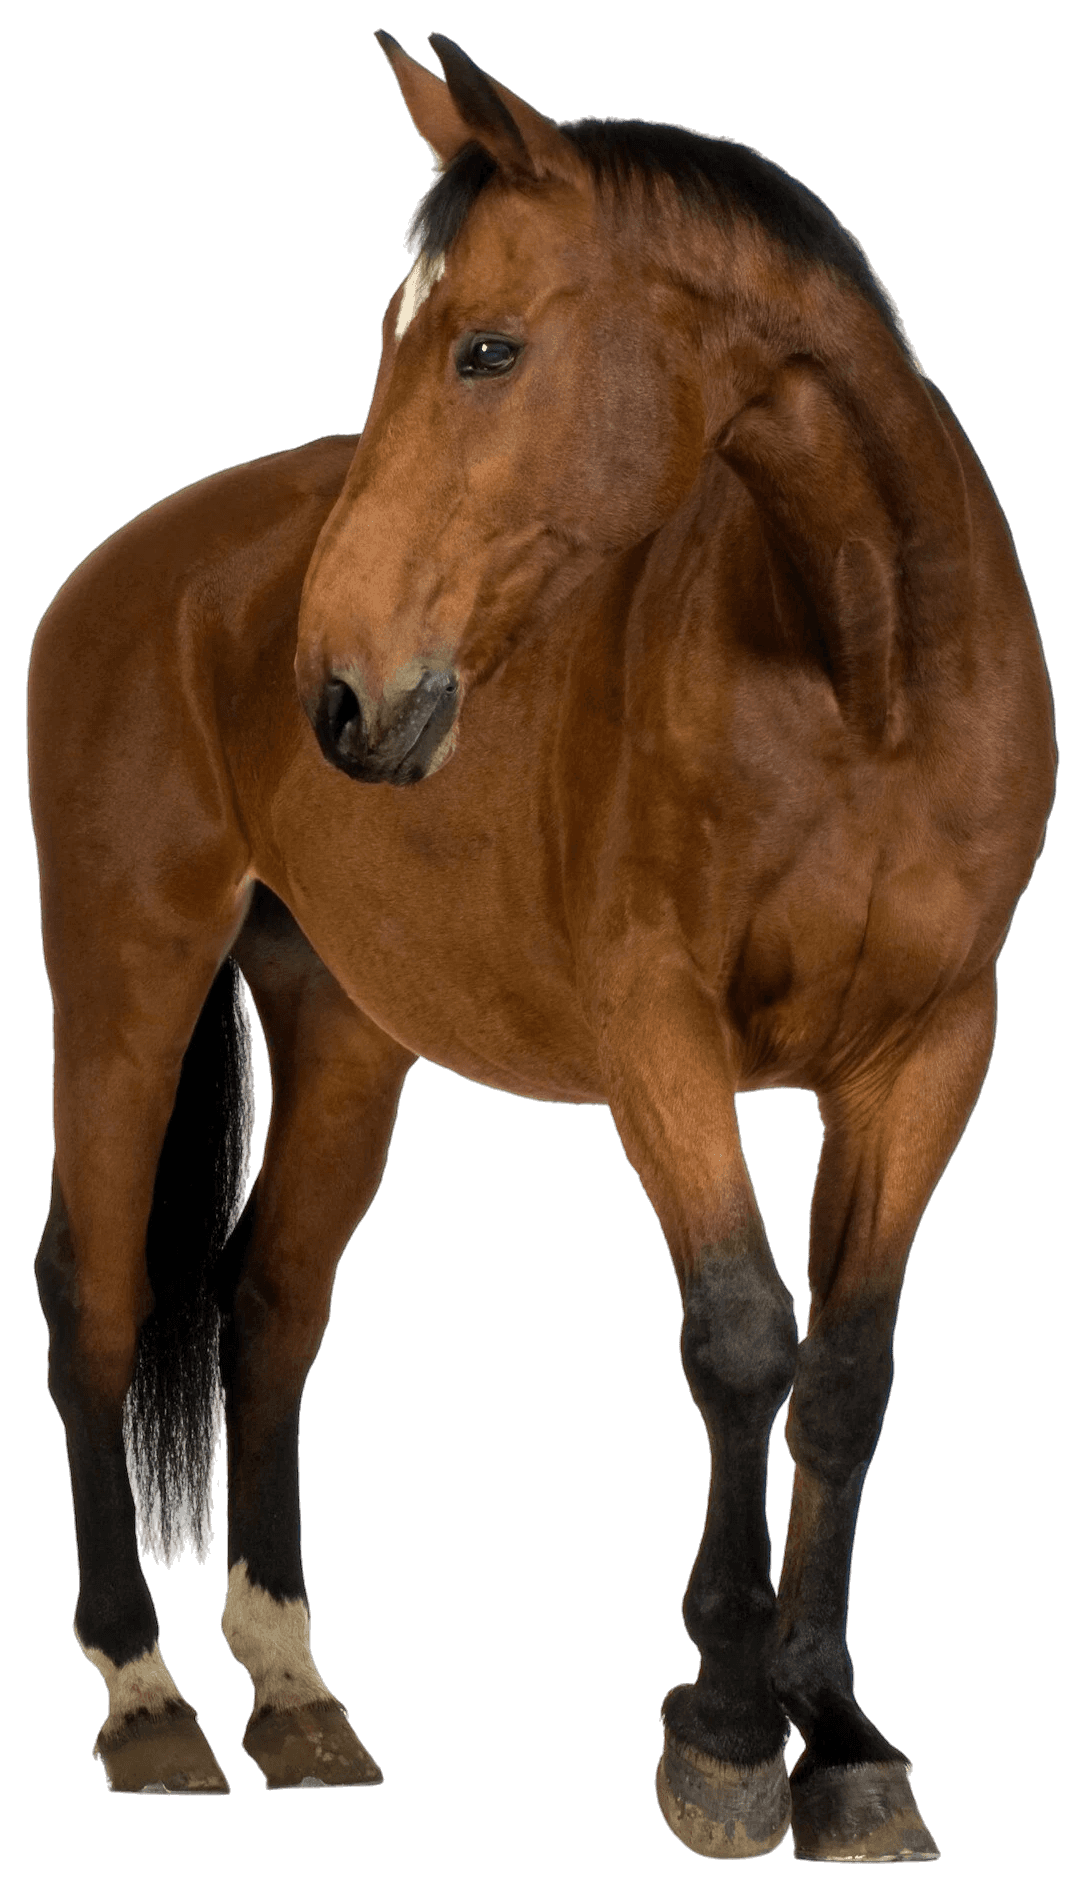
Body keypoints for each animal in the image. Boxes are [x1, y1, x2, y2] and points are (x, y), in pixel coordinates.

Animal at [27, 27, 1055, 1860]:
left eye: (487, 347)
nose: (340, 689)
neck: (860, 676)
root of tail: (143, 563)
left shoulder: (931, 1045)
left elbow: (846, 1373)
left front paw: (842, 1735)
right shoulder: (659, 1030)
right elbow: (740, 1338)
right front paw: (723, 1723)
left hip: (340, 1021)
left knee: (268, 1302)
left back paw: (294, 1691)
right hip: (125, 977)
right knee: (97, 1290)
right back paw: (146, 1696)